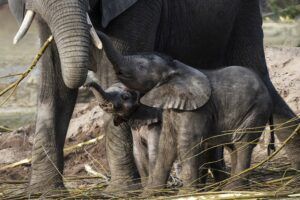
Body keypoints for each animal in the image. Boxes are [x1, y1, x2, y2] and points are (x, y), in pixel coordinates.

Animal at [97, 32, 274, 191]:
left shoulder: (197, 110)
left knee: (243, 142)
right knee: (233, 146)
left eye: (141, 67)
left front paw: (187, 193)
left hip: (256, 110)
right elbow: (166, 144)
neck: (175, 68)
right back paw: (232, 188)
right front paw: (150, 193)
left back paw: (232, 189)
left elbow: (187, 142)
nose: (96, 31)